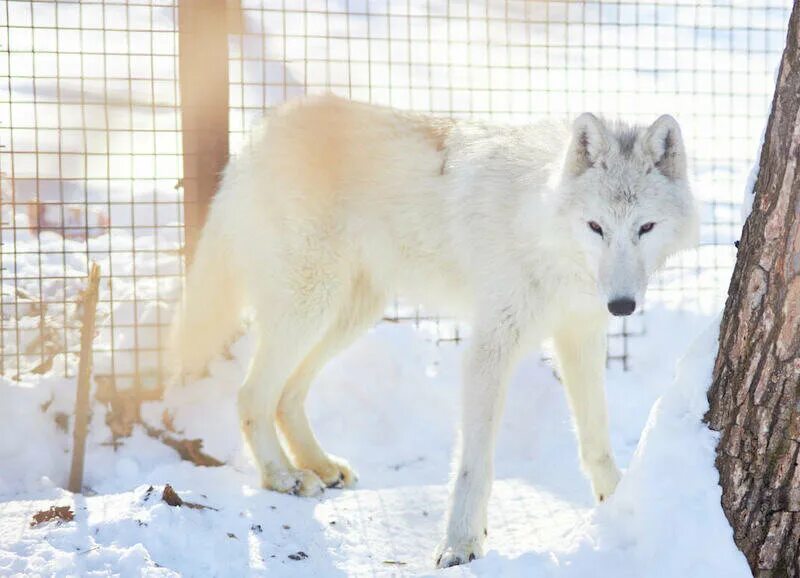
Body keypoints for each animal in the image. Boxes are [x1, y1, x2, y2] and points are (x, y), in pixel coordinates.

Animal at [172, 95, 696, 568]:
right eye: (596, 227)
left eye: (645, 227)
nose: (622, 306)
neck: (540, 228)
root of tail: (258, 135)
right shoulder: (489, 346)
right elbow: (474, 465)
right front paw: (461, 544)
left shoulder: (580, 335)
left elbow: (596, 439)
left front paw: (620, 505)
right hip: (309, 307)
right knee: (251, 396)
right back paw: (282, 478)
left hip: (348, 315)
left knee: (287, 396)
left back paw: (320, 466)